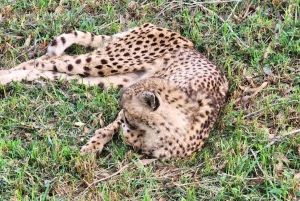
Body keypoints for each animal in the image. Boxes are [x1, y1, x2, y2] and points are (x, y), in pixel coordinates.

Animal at [1, 23, 229, 159]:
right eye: (124, 109)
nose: (121, 105)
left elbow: (130, 138)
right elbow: (112, 129)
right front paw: (94, 144)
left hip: (109, 79)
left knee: (50, 72)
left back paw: (10, 78)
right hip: (108, 61)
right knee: (48, 61)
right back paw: (5, 76)